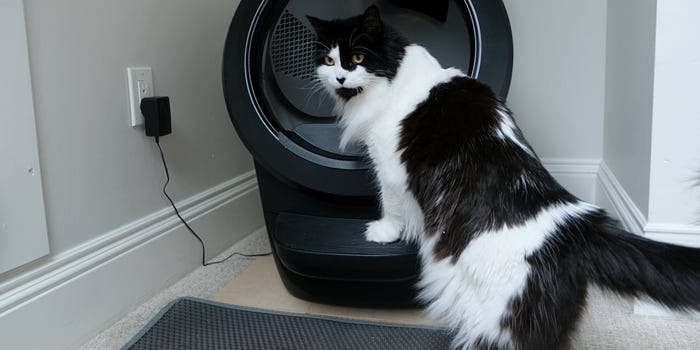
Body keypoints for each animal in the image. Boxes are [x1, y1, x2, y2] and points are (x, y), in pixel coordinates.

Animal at [308, 6, 700, 350]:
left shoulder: (388, 166)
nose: (340, 77)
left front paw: (384, 233)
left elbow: (390, 206)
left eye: (358, 57)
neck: (395, 76)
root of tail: (575, 223)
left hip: (499, 320)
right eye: (328, 61)